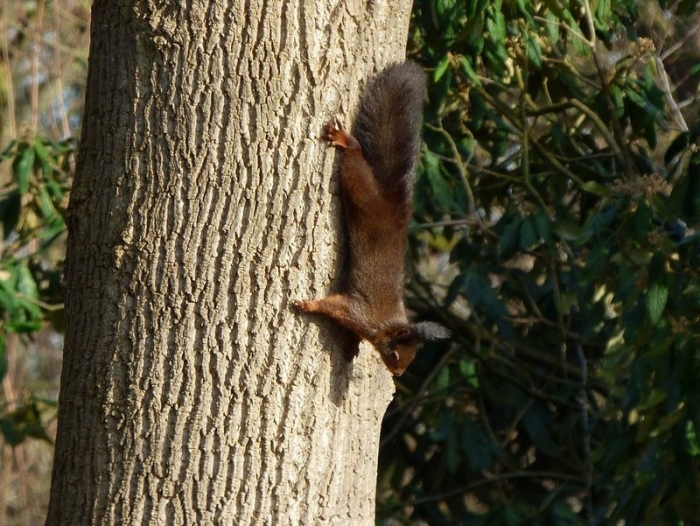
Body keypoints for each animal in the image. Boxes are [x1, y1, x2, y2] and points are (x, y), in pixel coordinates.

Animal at [294, 62, 450, 376]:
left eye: (413, 357)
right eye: (394, 354)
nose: (398, 374)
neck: (386, 326)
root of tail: (393, 206)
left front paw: (351, 347)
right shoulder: (358, 313)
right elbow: (332, 305)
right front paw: (308, 305)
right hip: (360, 189)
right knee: (354, 158)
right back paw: (344, 141)